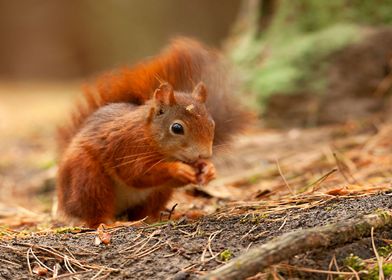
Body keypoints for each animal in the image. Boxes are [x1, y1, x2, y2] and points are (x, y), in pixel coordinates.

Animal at [56, 37, 248, 228]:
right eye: (177, 128)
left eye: (212, 124)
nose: (205, 155)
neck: (150, 137)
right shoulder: (127, 147)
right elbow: (136, 173)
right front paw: (177, 168)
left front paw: (209, 169)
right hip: (89, 178)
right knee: (95, 213)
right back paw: (110, 223)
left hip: (158, 193)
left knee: (145, 213)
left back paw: (170, 216)